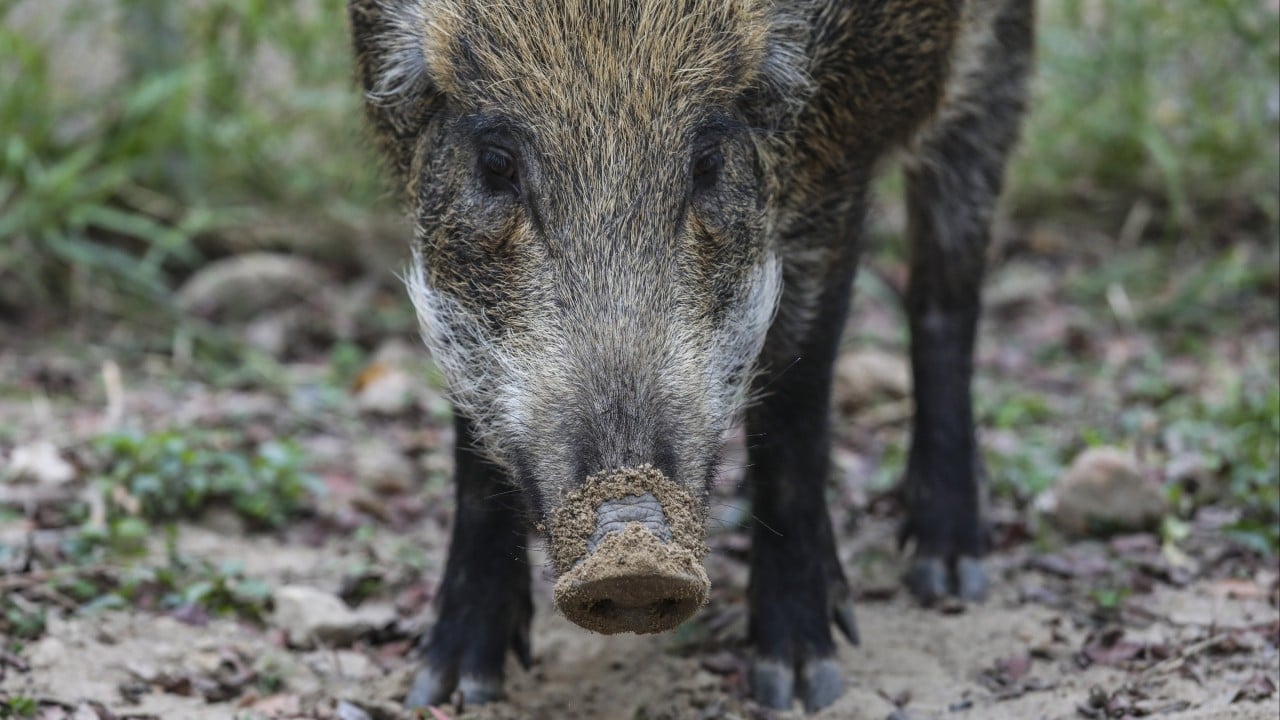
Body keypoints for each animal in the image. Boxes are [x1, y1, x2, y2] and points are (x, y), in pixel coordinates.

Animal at [348, 0, 1033, 712]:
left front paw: (801, 685)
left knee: (947, 290)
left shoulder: (837, 162)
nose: (632, 556)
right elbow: (469, 421)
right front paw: (449, 688)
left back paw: (950, 573)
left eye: (706, 162)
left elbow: (797, 399)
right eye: (496, 164)